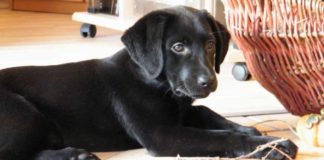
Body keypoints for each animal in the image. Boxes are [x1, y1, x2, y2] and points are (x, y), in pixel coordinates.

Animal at [0, 6, 296, 160]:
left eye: (211, 45)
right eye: (178, 47)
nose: (208, 82)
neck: (154, 83)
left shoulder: (184, 111)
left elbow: (209, 113)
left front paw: (254, 131)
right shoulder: (163, 134)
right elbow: (218, 136)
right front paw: (271, 146)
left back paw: (75, 155)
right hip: (24, 112)